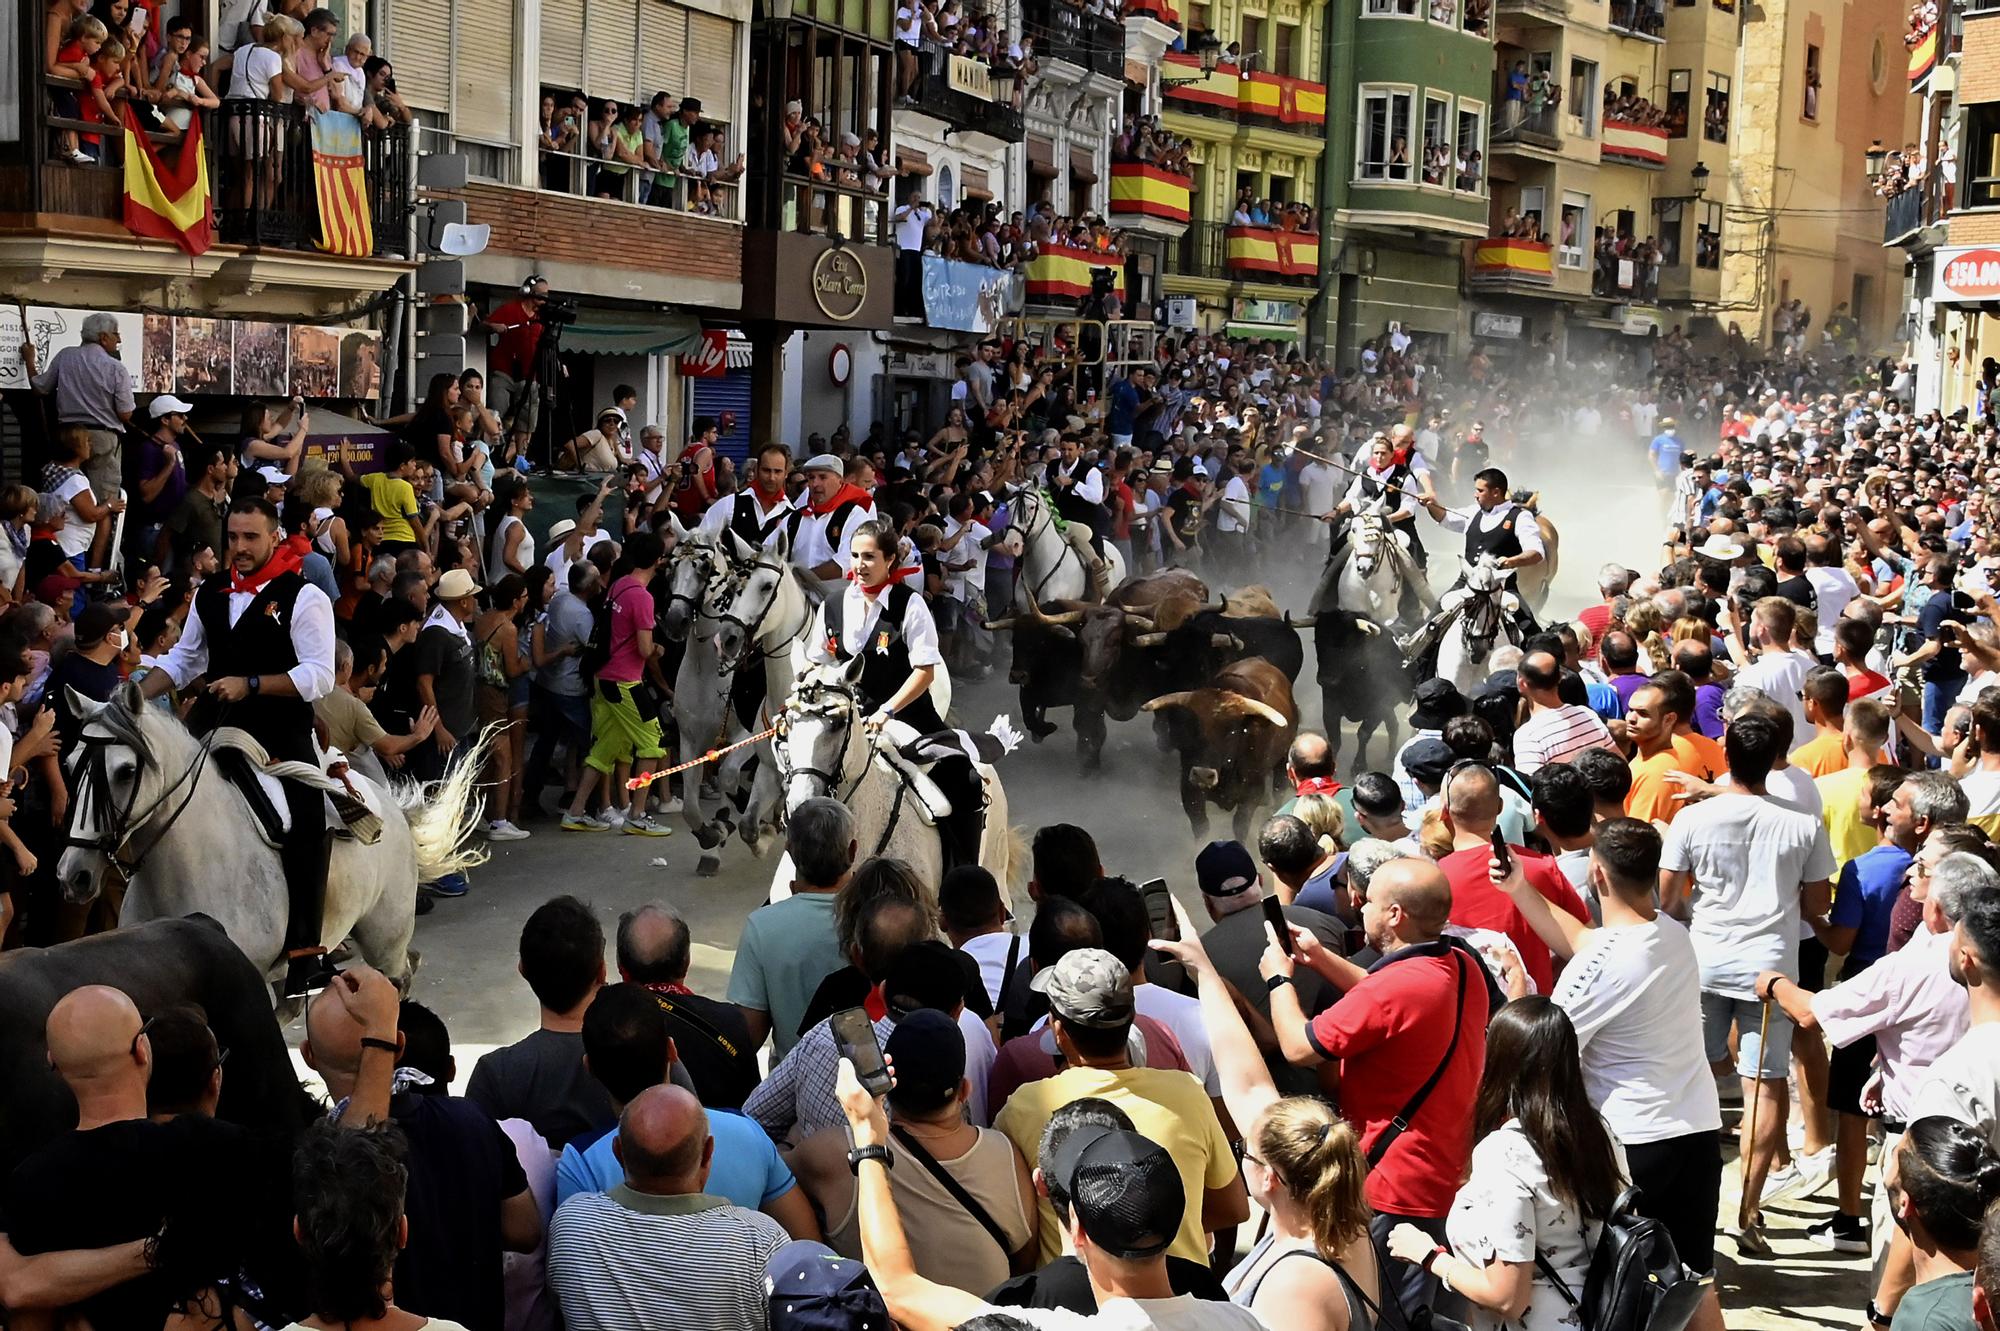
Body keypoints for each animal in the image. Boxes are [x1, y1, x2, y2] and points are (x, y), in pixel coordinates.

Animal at [57, 683, 480, 995]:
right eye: (70, 764)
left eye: (126, 771)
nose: (73, 875)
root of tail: (387, 804)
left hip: (384, 939)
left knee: (400, 976)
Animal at [1144, 655, 1296, 839]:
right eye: (1192, 726)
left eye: (1232, 731)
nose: (1203, 774)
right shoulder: (1189, 789)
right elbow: (1201, 827)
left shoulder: (1252, 793)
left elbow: (1240, 825)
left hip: (1283, 759)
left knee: (1279, 788)